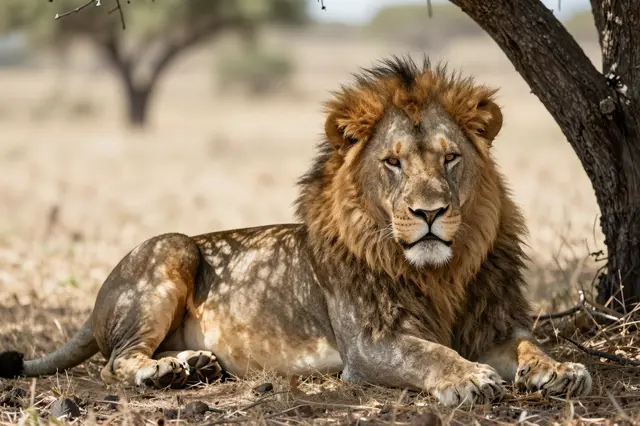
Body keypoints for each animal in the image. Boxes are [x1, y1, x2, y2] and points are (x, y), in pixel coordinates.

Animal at [0, 56, 591, 407]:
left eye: (450, 159)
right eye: (393, 163)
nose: (430, 213)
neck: (439, 273)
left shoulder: (494, 325)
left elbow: (530, 345)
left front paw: (563, 369)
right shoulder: (370, 345)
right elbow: (430, 354)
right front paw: (467, 378)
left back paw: (191, 365)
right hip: (171, 248)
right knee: (114, 363)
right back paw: (163, 374)